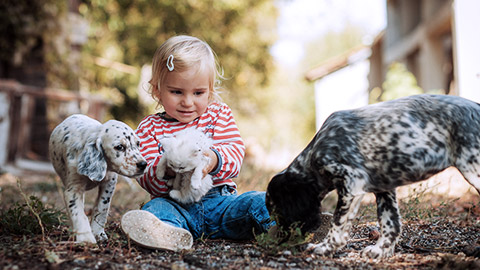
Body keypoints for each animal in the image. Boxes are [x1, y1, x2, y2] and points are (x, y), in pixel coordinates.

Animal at [49, 113, 147, 244]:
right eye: (119, 147)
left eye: (138, 144)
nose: (143, 164)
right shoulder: (73, 189)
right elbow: (78, 213)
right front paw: (86, 238)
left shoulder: (109, 183)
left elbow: (102, 208)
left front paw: (98, 233)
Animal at [264, 95, 480, 260]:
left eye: (279, 212)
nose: (279, 241)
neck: (312, 156)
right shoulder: (384, 189)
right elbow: (390, 223)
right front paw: (380, 251)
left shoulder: (352, 182)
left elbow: (338, 224)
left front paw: (324, 248)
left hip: (472, 166)